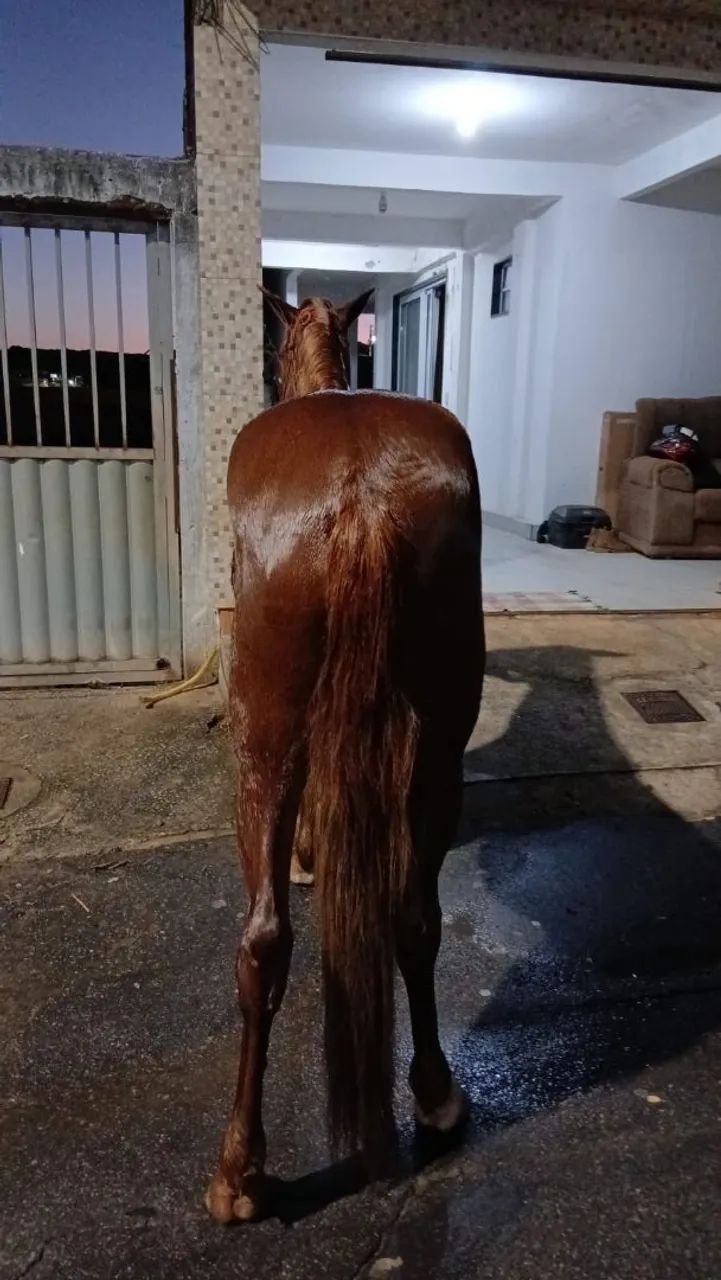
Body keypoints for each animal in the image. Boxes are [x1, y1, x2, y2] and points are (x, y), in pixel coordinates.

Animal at [206, 289, 485, 1223]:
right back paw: (434, 1096)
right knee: (413, 917)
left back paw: (239, 1173)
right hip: (440, 745)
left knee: (261, 943)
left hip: (262, 741)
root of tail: (361, 493)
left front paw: (305, 852)